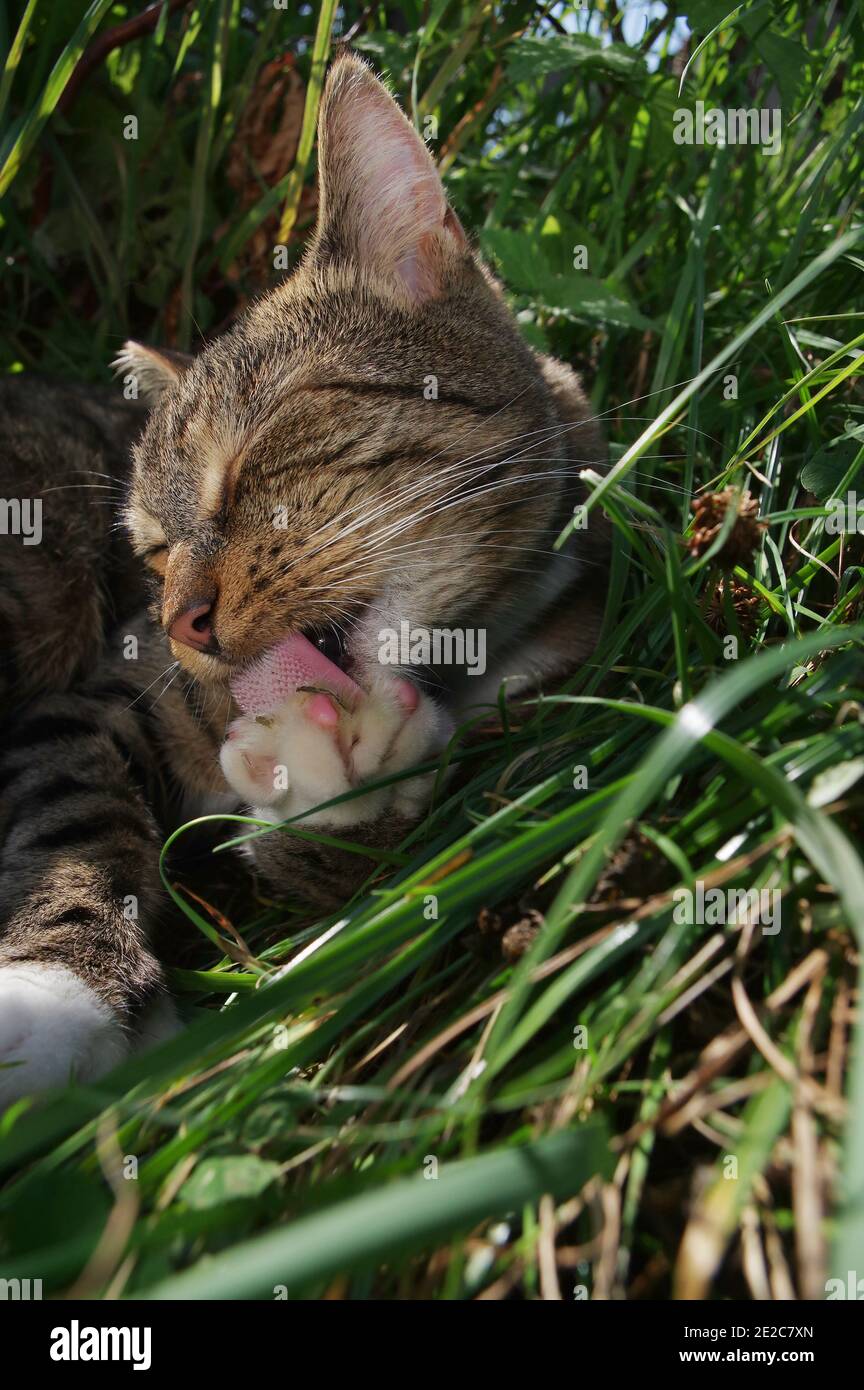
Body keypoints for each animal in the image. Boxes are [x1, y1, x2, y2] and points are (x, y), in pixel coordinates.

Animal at [0, 54, 608, 1100]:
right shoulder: (92, 700)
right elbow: (68, 818)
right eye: (153, 550)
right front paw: (55, 994)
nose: (183, 623)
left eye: (250, 462)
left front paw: (344, 796)